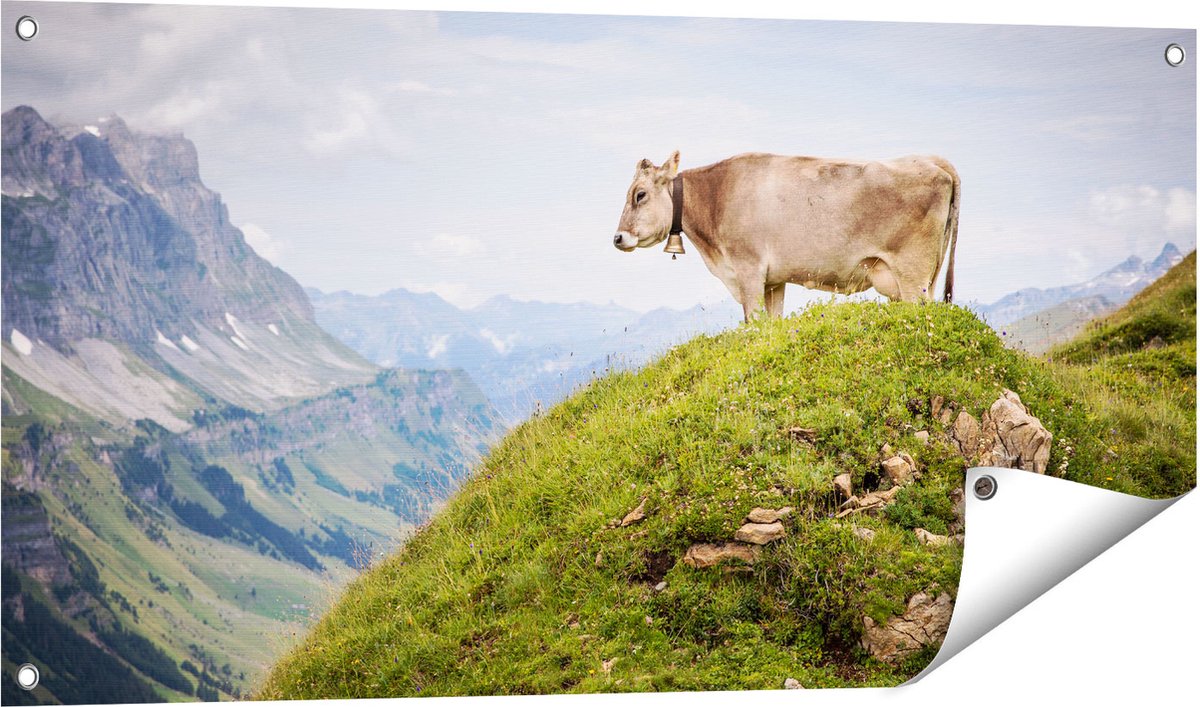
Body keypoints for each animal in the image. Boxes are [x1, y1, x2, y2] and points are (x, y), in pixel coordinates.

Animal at [612, 151, 960, 322]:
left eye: (640, 195)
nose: (617, 238)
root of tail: (932, 161)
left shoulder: (749, 270)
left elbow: (752, 323)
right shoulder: (773, 280)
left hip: (914, 275)